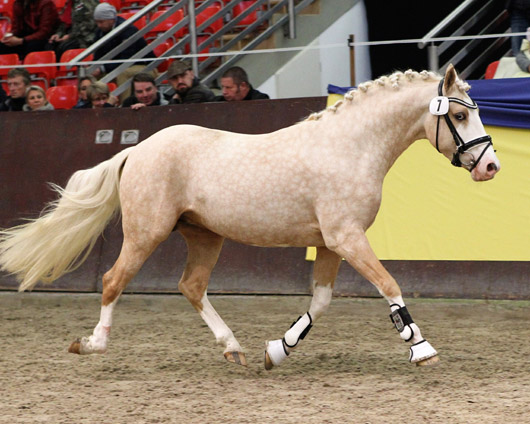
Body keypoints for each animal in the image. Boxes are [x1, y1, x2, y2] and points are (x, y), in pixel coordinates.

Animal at [0, 65, 498, 368]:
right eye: (458, 116)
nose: (490, 167)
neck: (351, 147)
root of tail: (137, 149)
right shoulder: (347, 238)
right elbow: (389, 285)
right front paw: (422, 348)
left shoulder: (332, 243)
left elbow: (320, 303)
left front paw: (276, 351)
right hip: (146, 233)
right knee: (112, 280)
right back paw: (91, 344)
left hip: (205, 237)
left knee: (191, 286)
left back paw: (234, 349)